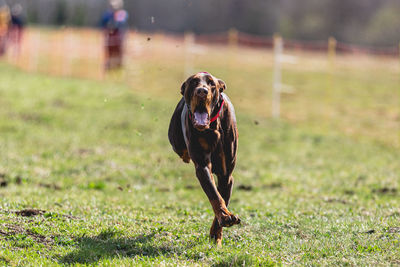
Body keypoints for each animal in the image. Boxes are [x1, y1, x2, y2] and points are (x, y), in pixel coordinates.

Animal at [167, 71, 239, 247]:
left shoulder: (226, 176)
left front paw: (216, 233)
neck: (211, 129)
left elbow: (221, 196)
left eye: (211, 83)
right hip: (175, 140)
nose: (202, 91)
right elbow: (214, 195)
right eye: (193, 82)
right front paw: (224, 216)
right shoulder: (202, 166)